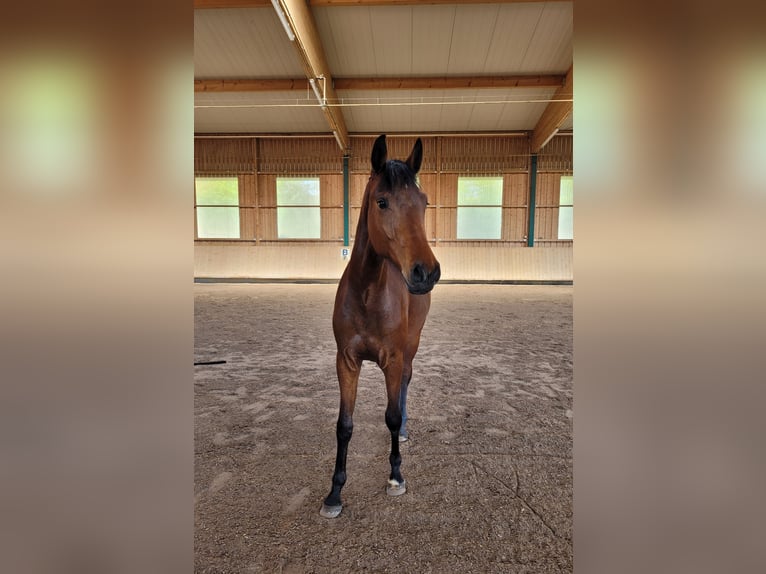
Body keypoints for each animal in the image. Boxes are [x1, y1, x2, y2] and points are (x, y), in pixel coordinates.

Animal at [320, 136, 440, 520]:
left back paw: (403, 431)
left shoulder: (394, 358)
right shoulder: (346, 361)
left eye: (423, 202)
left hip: (411, 347)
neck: (368, 292)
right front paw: (334, 492)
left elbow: (391, 414)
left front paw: (396, 476)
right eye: (382, 201)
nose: (426, 272)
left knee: (405, 387)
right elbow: (344, 426)